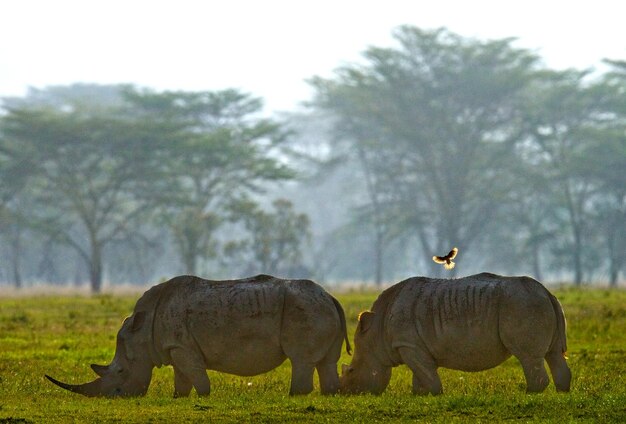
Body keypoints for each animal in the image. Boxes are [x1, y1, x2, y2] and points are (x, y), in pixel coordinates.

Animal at [45, 274, 352, 398]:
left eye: (120, 372)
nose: (114, 397)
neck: (141, 331)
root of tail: (332, 296)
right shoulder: (175, 347)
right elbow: (182, 378)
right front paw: (178, 398)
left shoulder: (182, 346)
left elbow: (197, 376)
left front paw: (203, 397)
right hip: (318, 307)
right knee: (326, 362)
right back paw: (329, 394)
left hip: (305, 309)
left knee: (301, 359)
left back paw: (294, 395)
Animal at [338, 274, 568, 396]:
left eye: (351, 371)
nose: (344, 392)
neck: (376, 333)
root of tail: (547, 292)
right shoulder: (414, 346)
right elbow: (420, 373)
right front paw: (419, 395)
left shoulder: (407, 345)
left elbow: (426, 373)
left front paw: (435, 394)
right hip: (535, 302)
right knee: (554, 354)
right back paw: (561, 392)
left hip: (522, 304)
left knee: (528, 357)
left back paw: (529, 394)